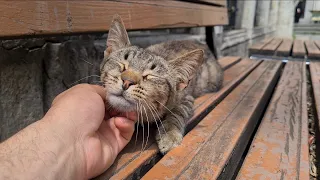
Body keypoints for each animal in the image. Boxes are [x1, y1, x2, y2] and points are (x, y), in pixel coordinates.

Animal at [100, 14, 222, 154]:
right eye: (123, 65)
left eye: (150, 76)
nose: (127, 81)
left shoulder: (186, 98)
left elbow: (177, 113)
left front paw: (170, 133)